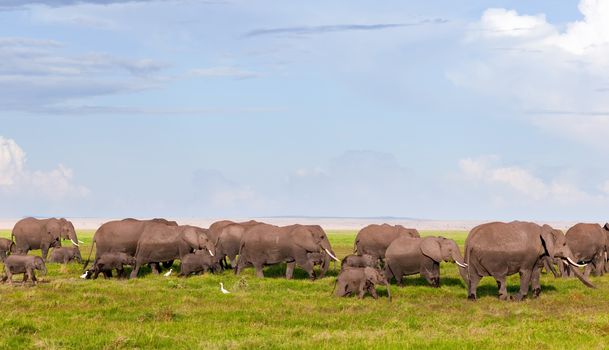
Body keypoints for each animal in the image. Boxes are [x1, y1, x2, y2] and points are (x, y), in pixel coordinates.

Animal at [464, 221, 592, 300]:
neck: (544, 229)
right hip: (492, 259)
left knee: (475, 277)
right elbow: (526, 272)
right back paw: (506, 298)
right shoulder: (529, 254)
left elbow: (536, 271)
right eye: (564, 244)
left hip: (474, 258)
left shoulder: (538, 254)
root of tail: (470, 240)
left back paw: (472, 298)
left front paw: (536, 296)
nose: (595, 288)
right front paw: (518, 299)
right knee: (500, 276)